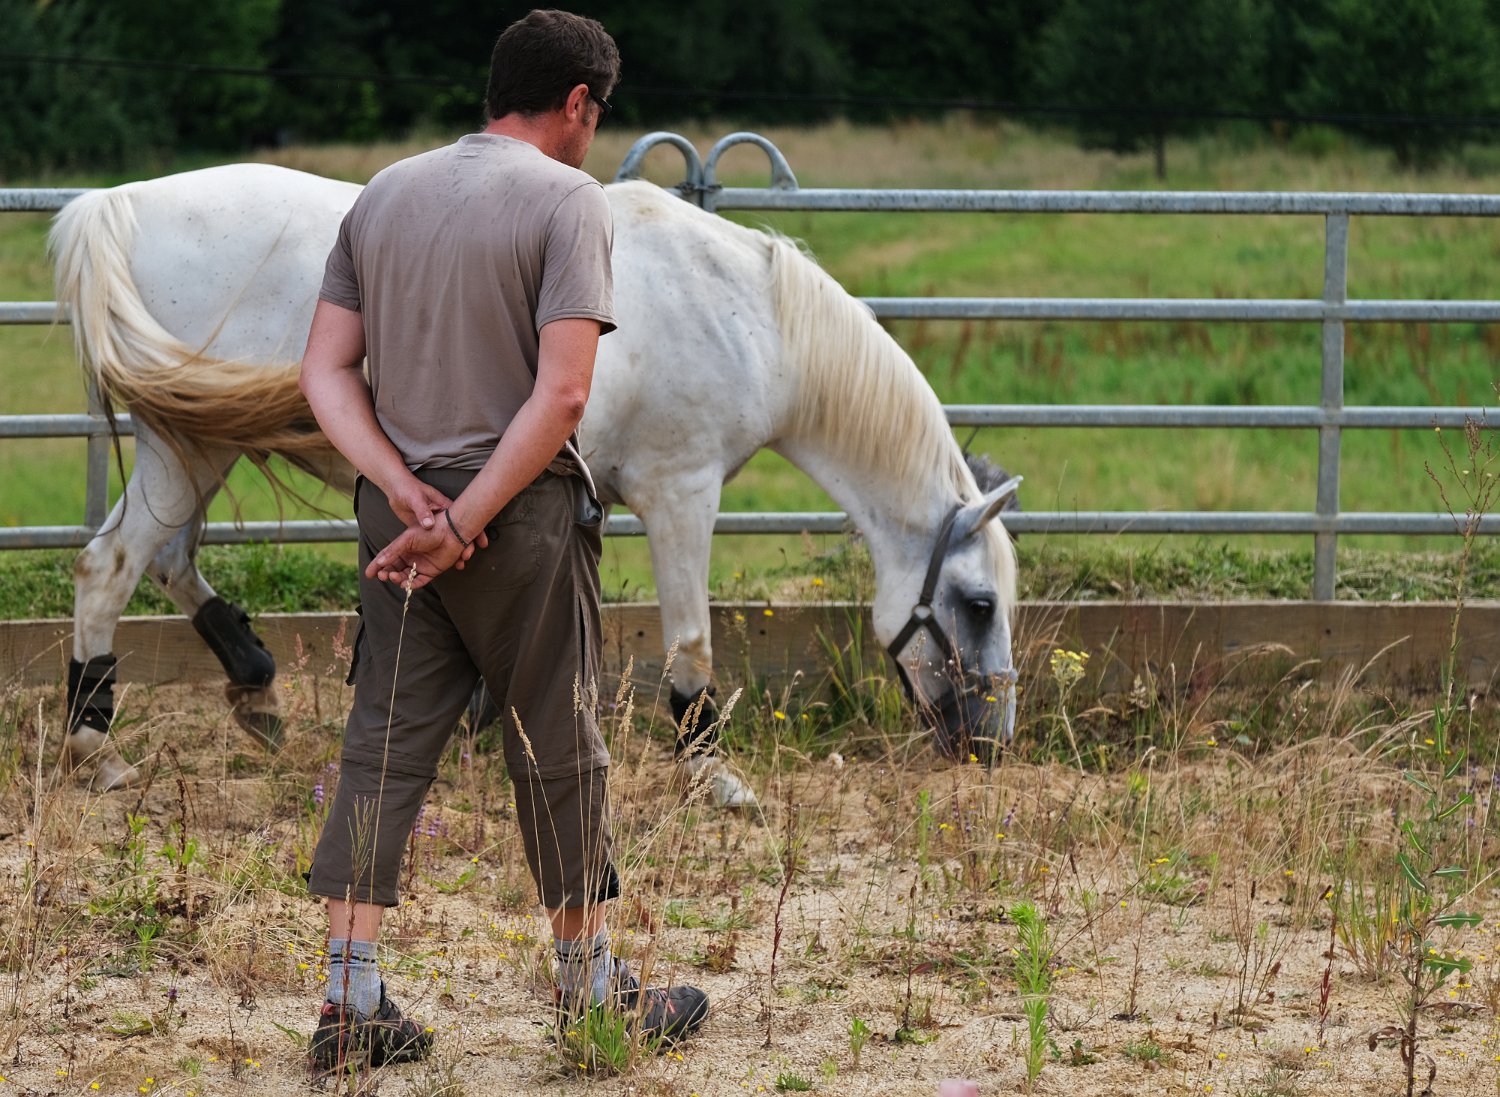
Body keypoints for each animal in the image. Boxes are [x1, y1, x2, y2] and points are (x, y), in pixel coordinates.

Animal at [49, 163, 1021, 803]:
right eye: (978, 604)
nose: (993, 744)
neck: (745, 312)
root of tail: (116, 204)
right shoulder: (682, 492)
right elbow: (691, 644)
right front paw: (712, 772)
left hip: (195, 442)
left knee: (162, 560)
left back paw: (253, 686)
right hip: (189, 447)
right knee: (111, 566)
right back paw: (97, 749)